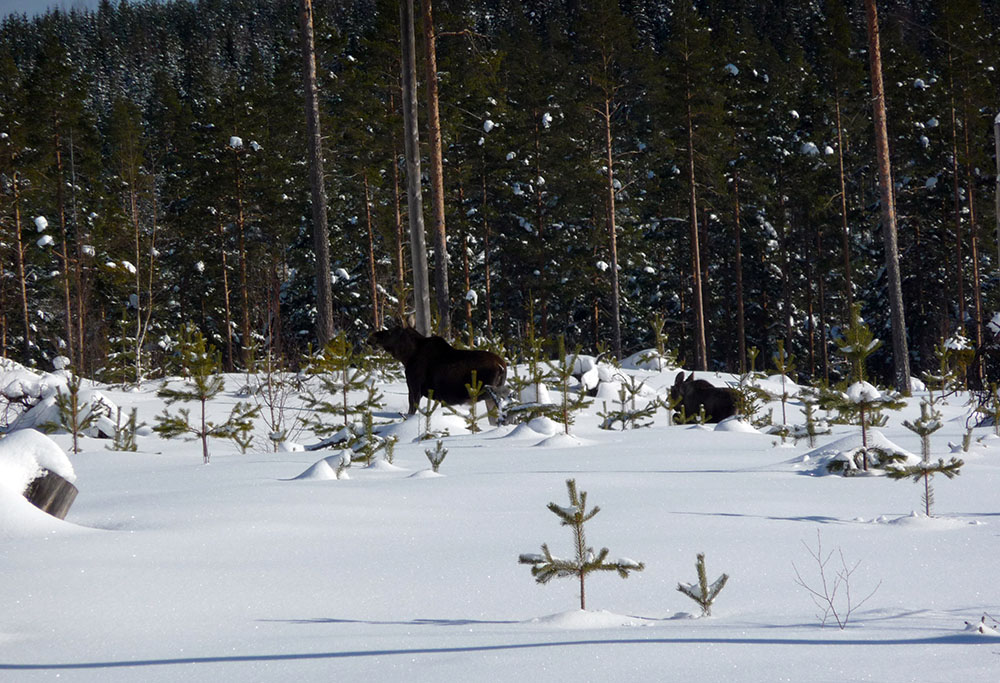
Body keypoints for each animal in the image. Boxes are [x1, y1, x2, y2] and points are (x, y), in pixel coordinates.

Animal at [370, 326, 508, 422]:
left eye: (389, 332)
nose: (371, 337)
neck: (407, 357)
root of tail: (502, 366)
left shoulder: (414, 386)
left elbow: (411, 410)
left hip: (487, 391)